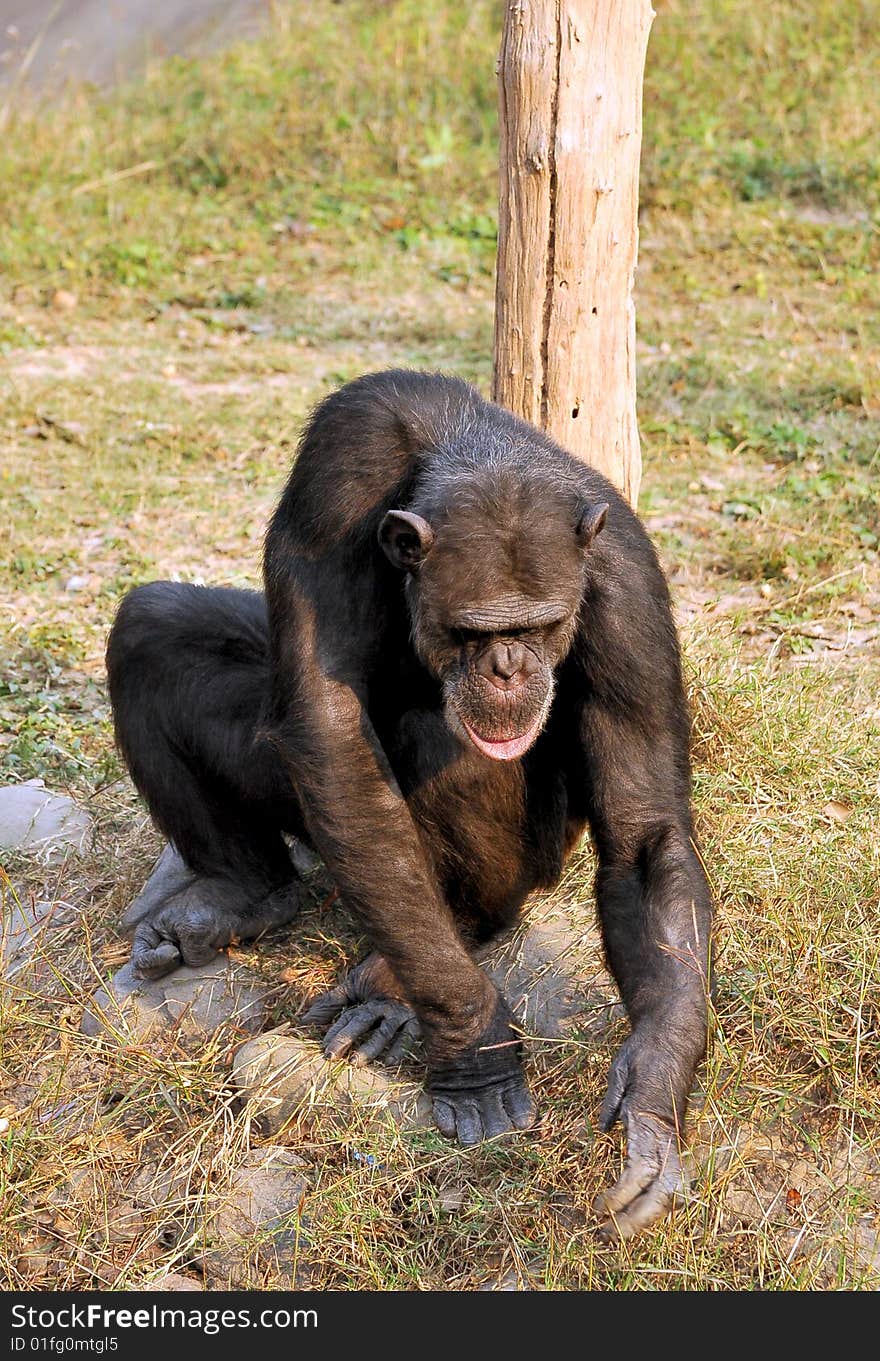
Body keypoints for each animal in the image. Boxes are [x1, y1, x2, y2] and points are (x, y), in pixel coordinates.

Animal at [108, 367, 718, 1241]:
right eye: (472, 631)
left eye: (543, 624)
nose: (507, 668)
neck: (464, 442)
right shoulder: (333, 481)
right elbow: (330, 727)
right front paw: (474, 1048)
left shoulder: (627, 579)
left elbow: (644, 826)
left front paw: (655, 1084)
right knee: (156, 627)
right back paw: (243, 891)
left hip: (537, 858)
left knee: (449, 752)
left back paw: (409, 971)